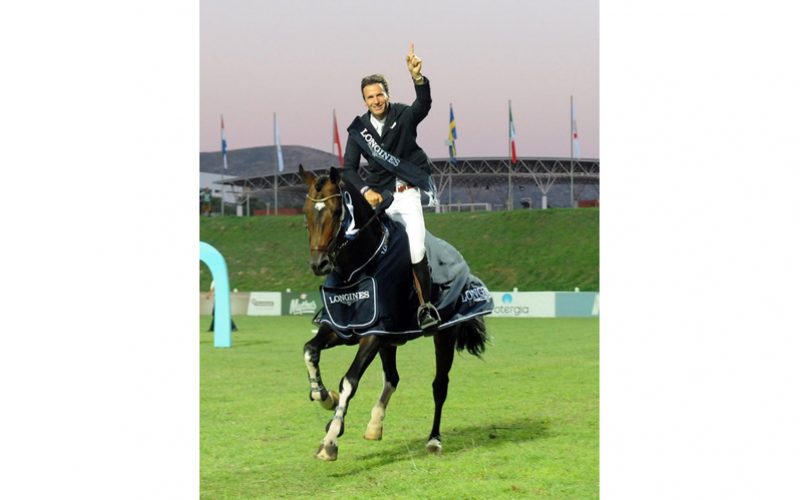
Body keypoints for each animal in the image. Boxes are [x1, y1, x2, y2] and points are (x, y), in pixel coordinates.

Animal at [299, 165, 493, 461]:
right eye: (307, 212)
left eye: (337, 211)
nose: (319, 264)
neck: (357, 268)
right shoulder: (341, 327)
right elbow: (310, 351)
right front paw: (325, 397)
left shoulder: (373, 333)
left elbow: (349, 381)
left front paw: (330, 440)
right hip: (390, 340)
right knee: (392, 378)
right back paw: (374, 423)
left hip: (443, 335)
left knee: (439, 385)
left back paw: (434, 440)